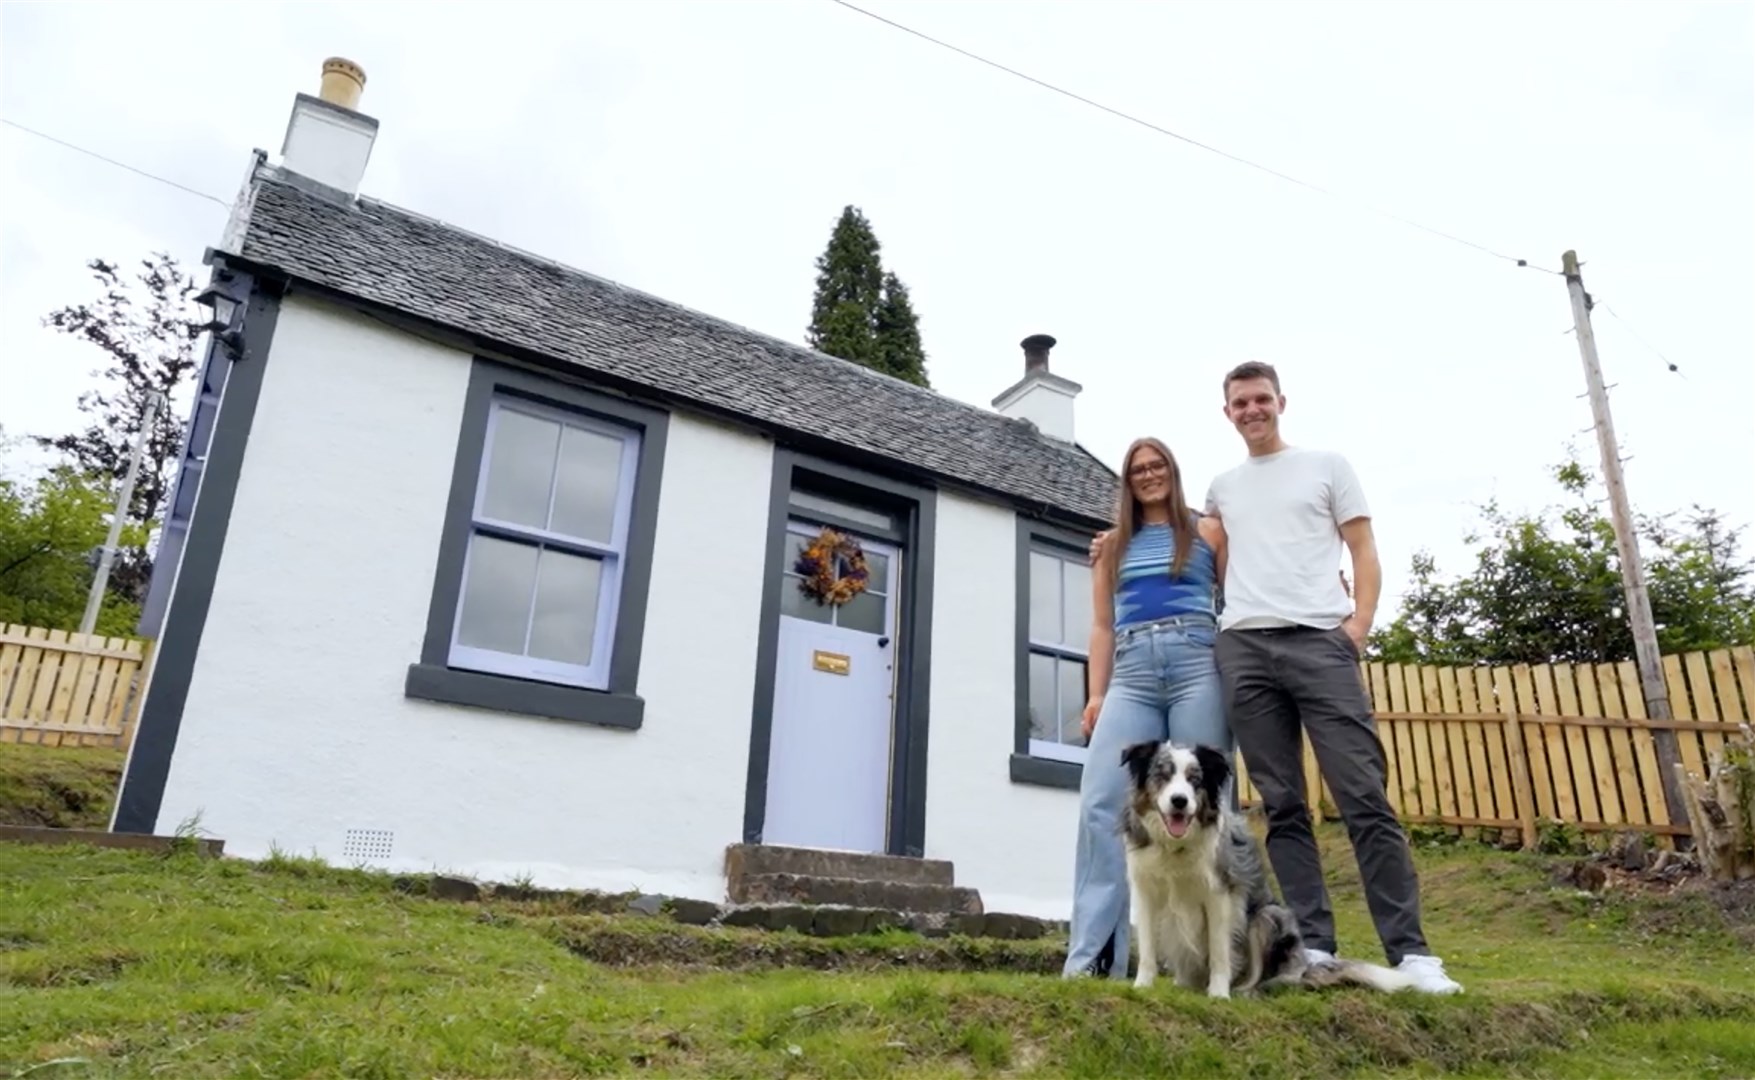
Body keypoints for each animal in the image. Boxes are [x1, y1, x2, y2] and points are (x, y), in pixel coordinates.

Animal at [1123, 744, 1425, 997]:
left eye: (1194, 780)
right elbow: (1148, 948)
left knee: (1266, 976)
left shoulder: (1220, 895)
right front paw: (1141, 986)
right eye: (1162, 776)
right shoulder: (1145, 892)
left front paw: (1219, 995)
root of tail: (1302, 968)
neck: (1175, 846)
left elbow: (1220, 952)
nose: (1179, 801)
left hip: (1268, 917)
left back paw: (1245, 991)